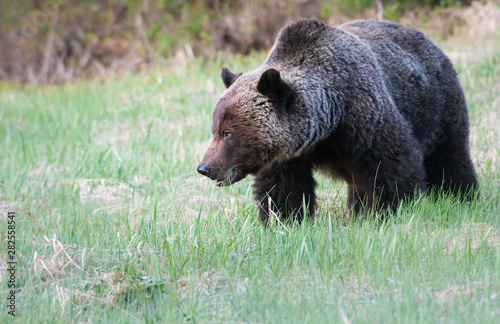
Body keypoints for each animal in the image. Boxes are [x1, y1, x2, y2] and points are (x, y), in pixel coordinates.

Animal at [197, 19, 478, 224]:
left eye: (228, 133)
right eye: (214, 130)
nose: (205, 167)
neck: (329, 119)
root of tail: (430, 42)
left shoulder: (363, 115)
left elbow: (392, 164)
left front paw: (391, 210)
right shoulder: (288, 153)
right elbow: (283, 188)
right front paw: (284, 221)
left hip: (438, 107)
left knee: (449, 158)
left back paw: (462, 196)